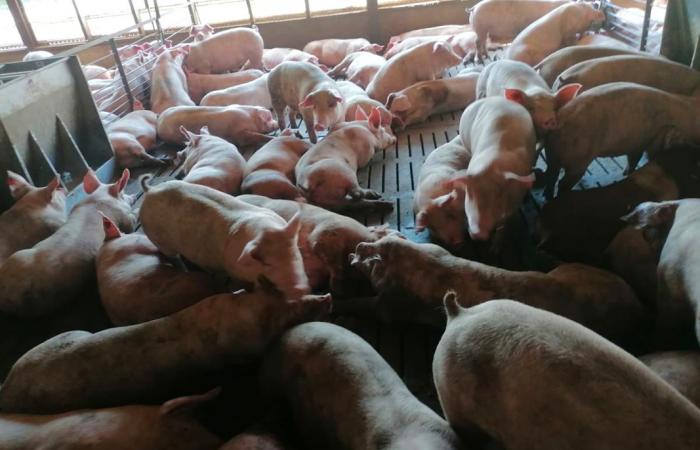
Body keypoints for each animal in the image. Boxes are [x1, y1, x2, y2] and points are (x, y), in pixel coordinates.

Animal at [139, 179, 310, 300]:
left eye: (294, 252)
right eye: (268, 264)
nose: (300, 289)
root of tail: (150, 189)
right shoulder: (235, 270)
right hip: (159, 240)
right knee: (173, 257)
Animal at [348, 236, 648, 349]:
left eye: (370, 259)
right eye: (378, 240)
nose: (358, 246)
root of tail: (636, 303)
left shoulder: (393, 306)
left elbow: (371, 307)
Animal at [543, 83, 700, 199]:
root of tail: (560, 121)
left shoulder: (638, 143)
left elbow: (633, 159)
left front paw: (626, 173)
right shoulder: (654, 141)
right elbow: (648, 156)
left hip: (552, 152)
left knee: (551, 174)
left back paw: (547, 195)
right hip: (578, 159)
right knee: (562, 182)